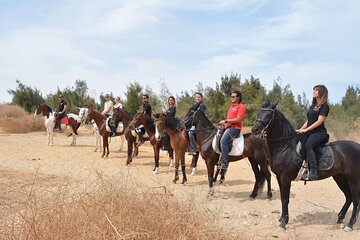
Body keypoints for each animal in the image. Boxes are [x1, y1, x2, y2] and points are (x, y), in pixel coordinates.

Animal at [252, 101, 360, 231]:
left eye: (269, 115)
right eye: (259, 112)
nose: (254, 129)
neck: (285, 146)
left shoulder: (285, 178)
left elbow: (285, 199)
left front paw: (283, 223)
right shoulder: (279, 177)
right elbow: (283, 198)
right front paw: (282, 219)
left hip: (353, 179)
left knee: (355, 200)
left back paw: (350, 224)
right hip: (340, 177)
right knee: (348, 197)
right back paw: (340, 218)